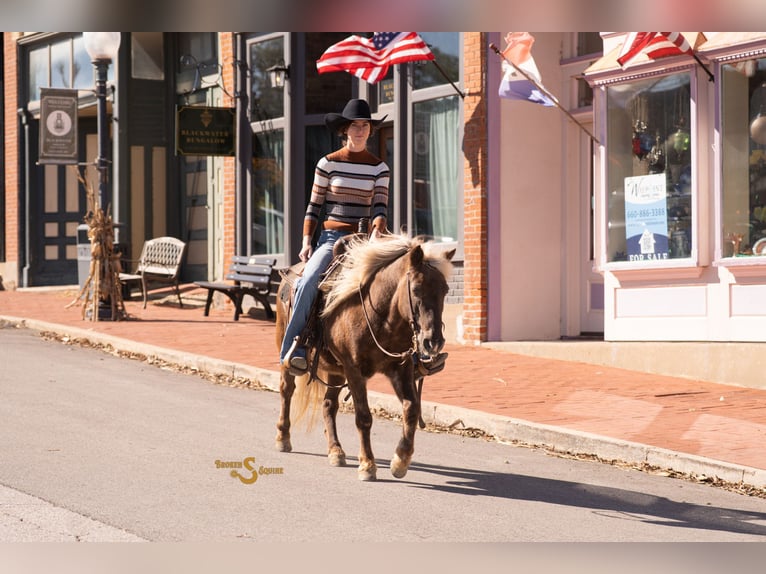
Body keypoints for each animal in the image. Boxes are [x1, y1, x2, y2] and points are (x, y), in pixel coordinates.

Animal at [274, 233, 455, 481]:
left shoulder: (401, 368)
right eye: (417, 289)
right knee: (287, 390)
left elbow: (411, 409)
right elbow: (363, 417)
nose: (433, 341)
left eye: (445, 290)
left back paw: (335, 451)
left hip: (335, 370)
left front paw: (400, 460)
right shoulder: (354, 370)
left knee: (329, 404)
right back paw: (283, 437)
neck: (380, 317)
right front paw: (368, 465)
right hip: (288, 355)